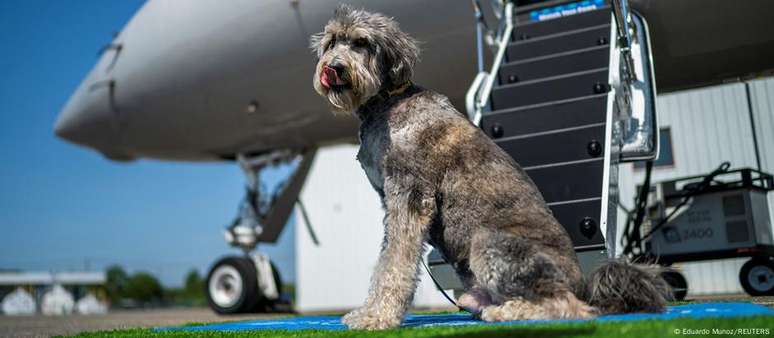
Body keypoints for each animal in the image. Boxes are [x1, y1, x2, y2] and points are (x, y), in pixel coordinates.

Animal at [310, 4, 672, 330]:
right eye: (332, 42)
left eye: (362, 42)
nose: (334, 68)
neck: (388, 101)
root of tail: (583, 283)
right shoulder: (392, 200)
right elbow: (388, 257)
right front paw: (369, 312)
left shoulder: (409, 195)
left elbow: (395, 262)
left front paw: (376, 317)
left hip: (490, 243)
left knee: (568, 307)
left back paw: (506, 313)